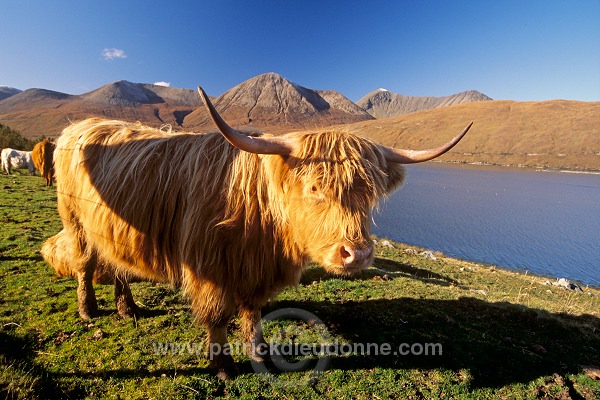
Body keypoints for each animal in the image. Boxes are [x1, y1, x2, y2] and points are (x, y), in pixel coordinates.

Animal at [44, 86, 472, 378]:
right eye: (314, 187)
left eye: (369, 192)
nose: (358, 254)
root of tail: (81, 126)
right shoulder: (210, 267)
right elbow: (218, 315)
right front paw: (222, 367)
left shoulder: (253, 271)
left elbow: (252, 313)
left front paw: (259, 354)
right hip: (76, 222)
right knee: (85, 265)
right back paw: (88, 310)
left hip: (112, 230)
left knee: (116, 265)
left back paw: (127, 308)